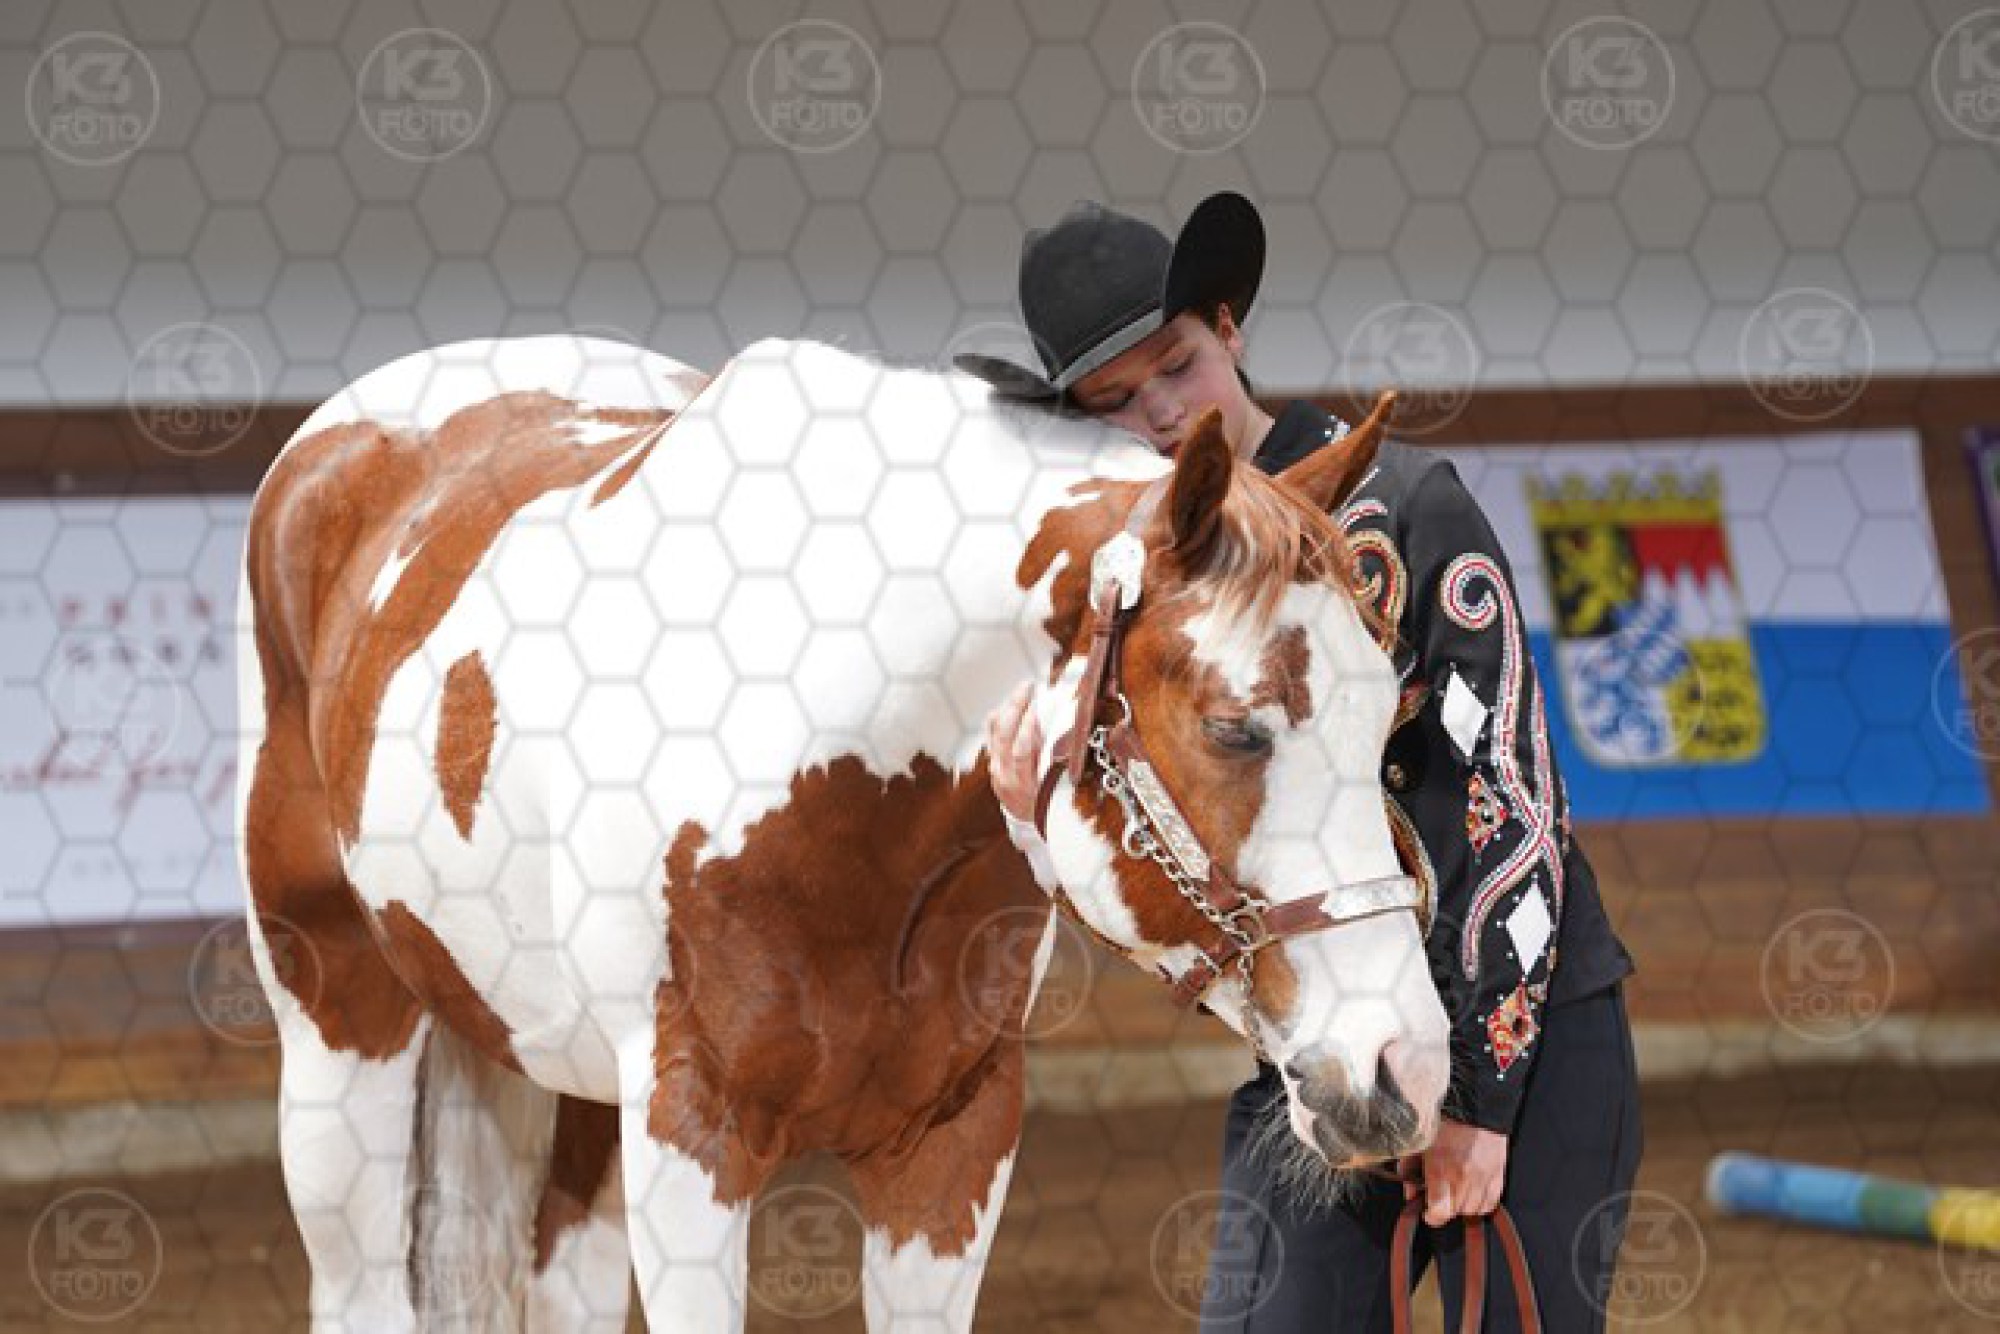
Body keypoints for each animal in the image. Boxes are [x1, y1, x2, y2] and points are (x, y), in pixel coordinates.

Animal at [233, 332, 1450, 1331]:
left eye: (1386, 708)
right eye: (1235, 728)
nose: (1406, 1063)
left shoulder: (954, 1146)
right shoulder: (688, 1146)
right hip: (339, 1035)